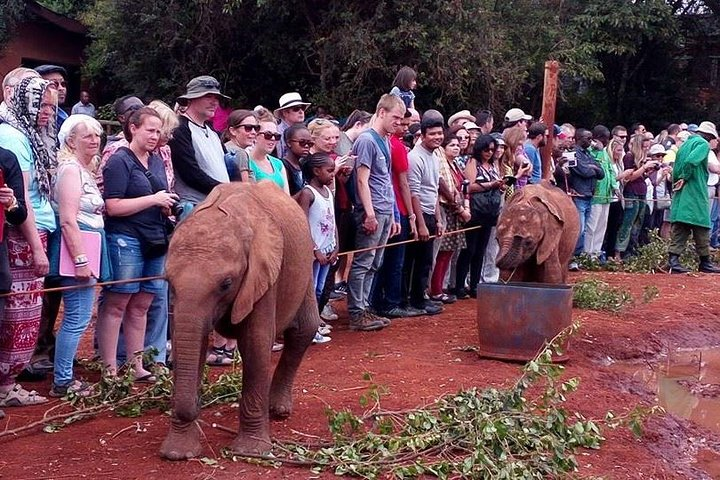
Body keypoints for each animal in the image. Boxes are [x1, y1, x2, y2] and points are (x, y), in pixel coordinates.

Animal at [163, 183, 324, 462]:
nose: (195, 406)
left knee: (303, 331)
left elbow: (255, 343)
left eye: (226, 284)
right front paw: (177, 453)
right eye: (168, 282)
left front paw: (252, 452)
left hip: (303, 266)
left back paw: (278, 411)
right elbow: (193, 343)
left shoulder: (264, 274)